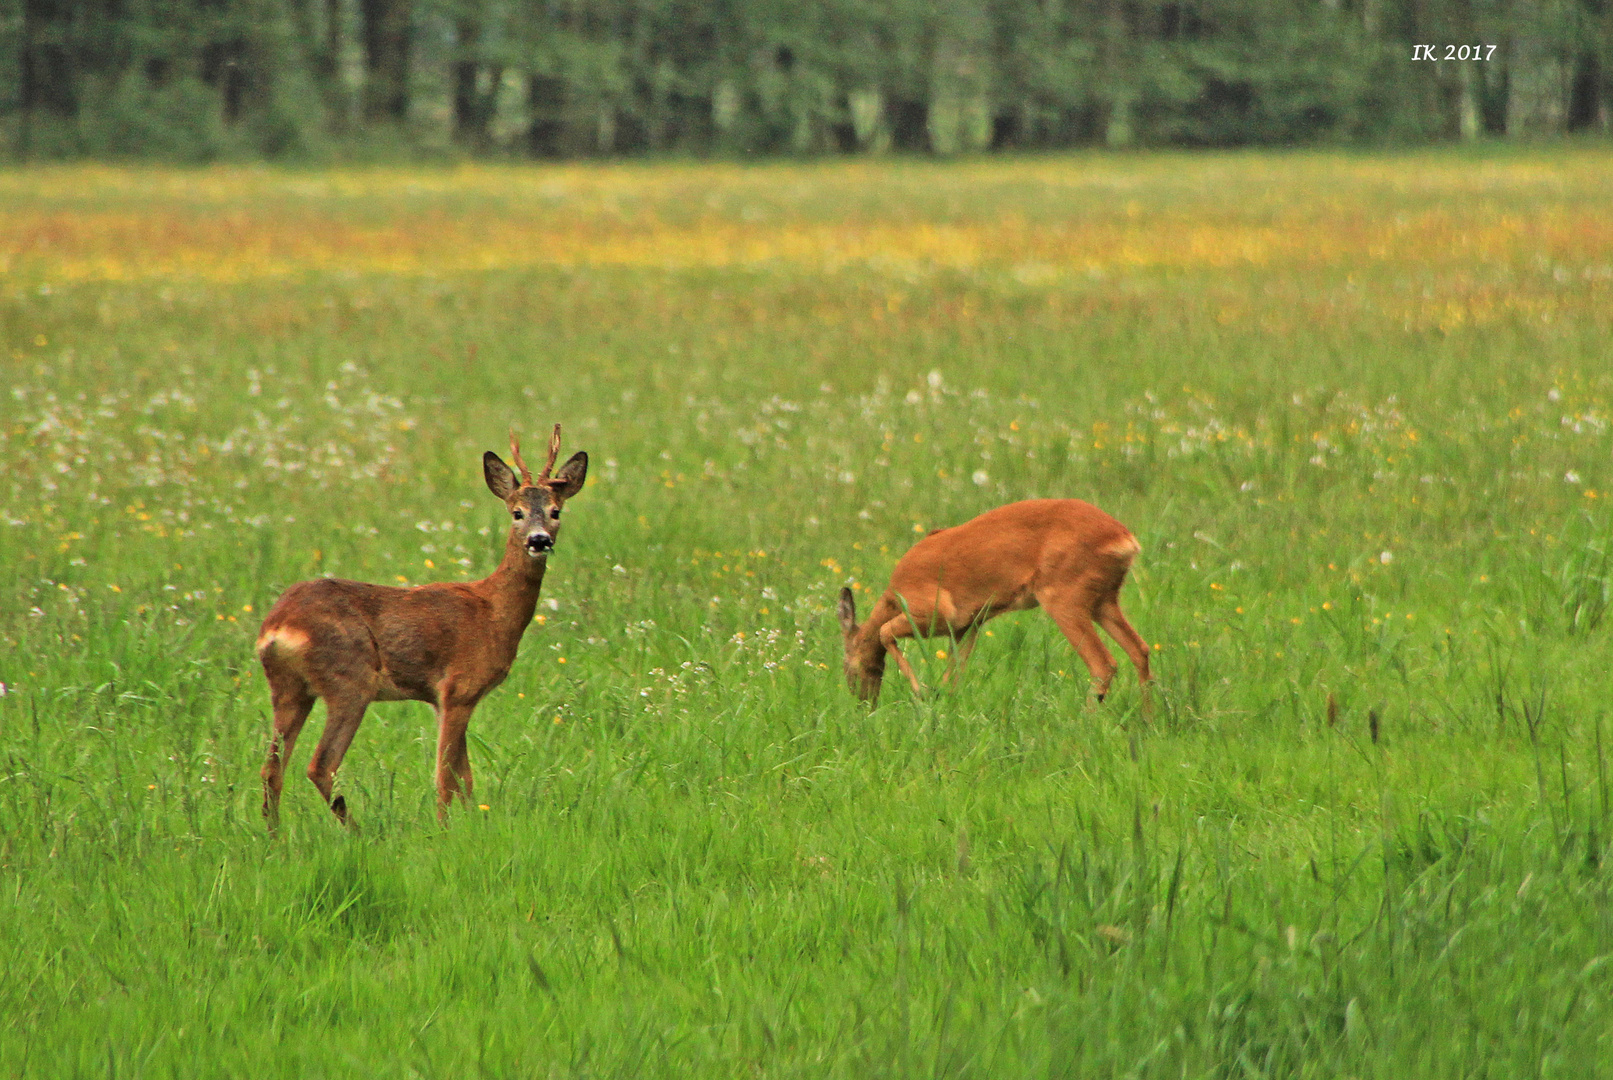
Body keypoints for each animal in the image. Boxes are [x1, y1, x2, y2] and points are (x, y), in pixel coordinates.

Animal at [248, 425, 583, 831]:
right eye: (517, 512)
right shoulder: (458, 688)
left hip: (289, 688)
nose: (539, 540)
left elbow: (464, 778)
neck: (493, 611)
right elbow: (446, 777)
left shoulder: (443, 699)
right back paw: (360, 833)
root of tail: (277, 626)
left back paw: (274, 836)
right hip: (349, 680)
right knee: (320, 765)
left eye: (555, 511)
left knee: (272, 768)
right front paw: (445, 832)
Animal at [838, 502, 1154, 718]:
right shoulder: (968, 625)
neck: (893, 597)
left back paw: (1086, 720)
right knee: (1140, 650)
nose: (863, 704)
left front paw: (922, 692)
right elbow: (954, 675)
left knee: (1104, 663)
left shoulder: (935, 612)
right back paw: (1146, 720)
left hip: (1065, 596)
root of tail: (1125, 539)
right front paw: (942, 703)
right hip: (1104, 599)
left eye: (847, 666)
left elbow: (883, 632)